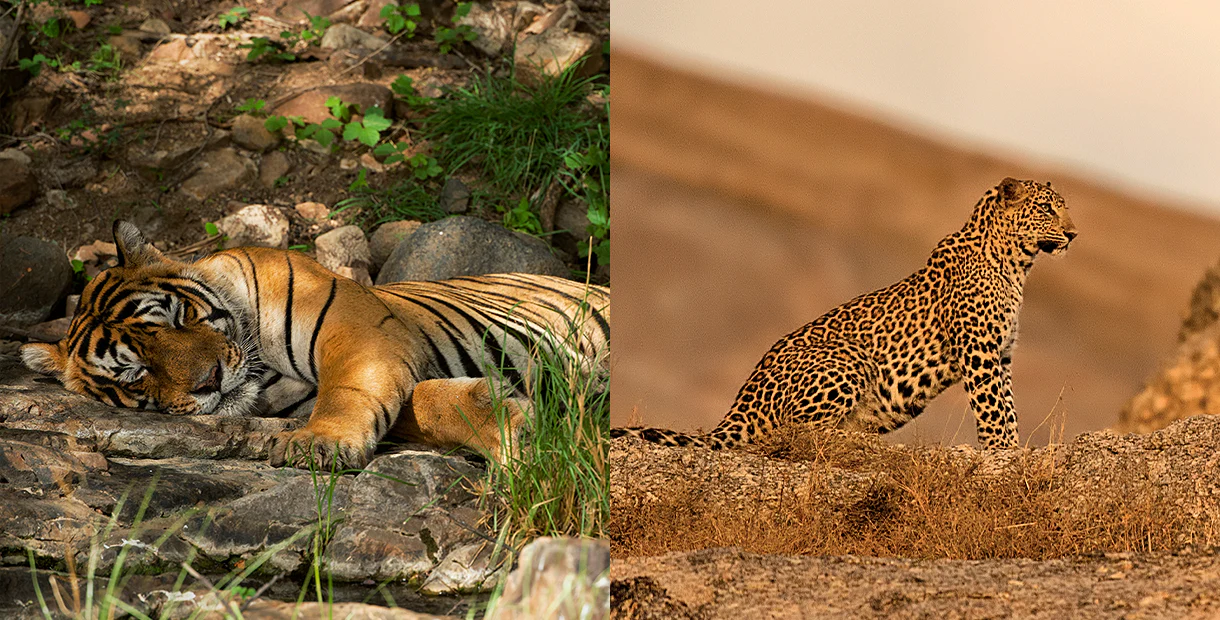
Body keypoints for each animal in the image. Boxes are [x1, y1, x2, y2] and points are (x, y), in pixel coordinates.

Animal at [21, 221, 610, 470]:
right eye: (135, 372)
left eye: (177, 316)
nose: (210, 382)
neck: (266, 372)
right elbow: (422, 404)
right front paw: (508, 417)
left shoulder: (361, 333)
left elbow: (348, 392)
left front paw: (318, 444)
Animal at [612, 177, 1076, 450]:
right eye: (1046, 208)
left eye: (1063, 207)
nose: (1073, 234)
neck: (1016, 263)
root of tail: (742, 402)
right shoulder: (979, 351)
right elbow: (993, 408)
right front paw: (1003, 453)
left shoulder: (1002, 353)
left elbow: (1008, 406)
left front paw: (1013, 449)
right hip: (850, 357)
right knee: (795, 433)